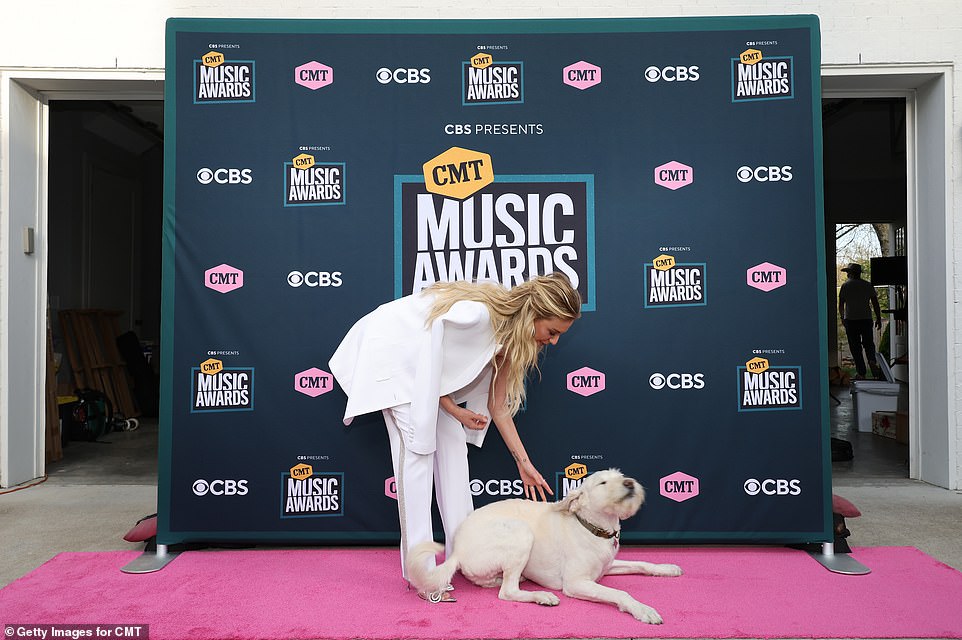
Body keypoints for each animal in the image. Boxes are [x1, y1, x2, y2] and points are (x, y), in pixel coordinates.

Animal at [406, 468, 684, 624]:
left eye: (622, 477)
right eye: (602, 483)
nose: (629, 483)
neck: (593, 527)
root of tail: (457, 550)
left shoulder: (608, 566)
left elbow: (643, 563)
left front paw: (667, 568)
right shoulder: (576, 583)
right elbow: (620, 594)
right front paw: (642, 610)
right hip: (521, 532)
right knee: (507, 592)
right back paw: (541, 595)